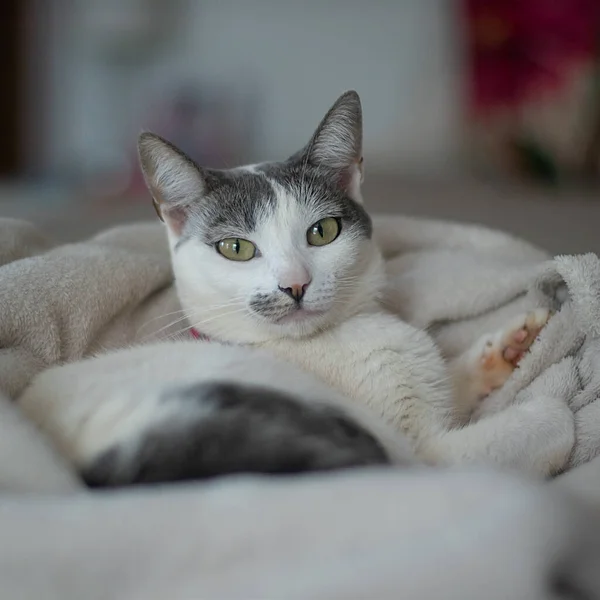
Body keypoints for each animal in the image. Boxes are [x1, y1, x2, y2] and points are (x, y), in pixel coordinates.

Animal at [17, 90, 572, 488]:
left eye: (322, 231)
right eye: (236, 248)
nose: (295, 285)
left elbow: (446, 383)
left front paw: (512, 344)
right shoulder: (423, 453)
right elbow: (521, 430)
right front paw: (553, 412)